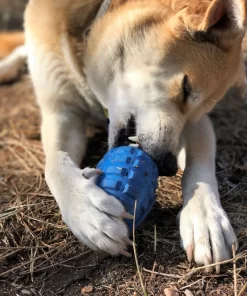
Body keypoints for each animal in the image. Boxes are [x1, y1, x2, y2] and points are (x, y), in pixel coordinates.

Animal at [0, 0, 246, 272]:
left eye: (196, 110)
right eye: (185, 88)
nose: (168, 166)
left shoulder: (197, 125)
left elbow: (200, 166)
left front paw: (205, 218)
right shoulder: (61, 113)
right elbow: (54, 164)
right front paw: (86, 210)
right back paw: (7, 68)